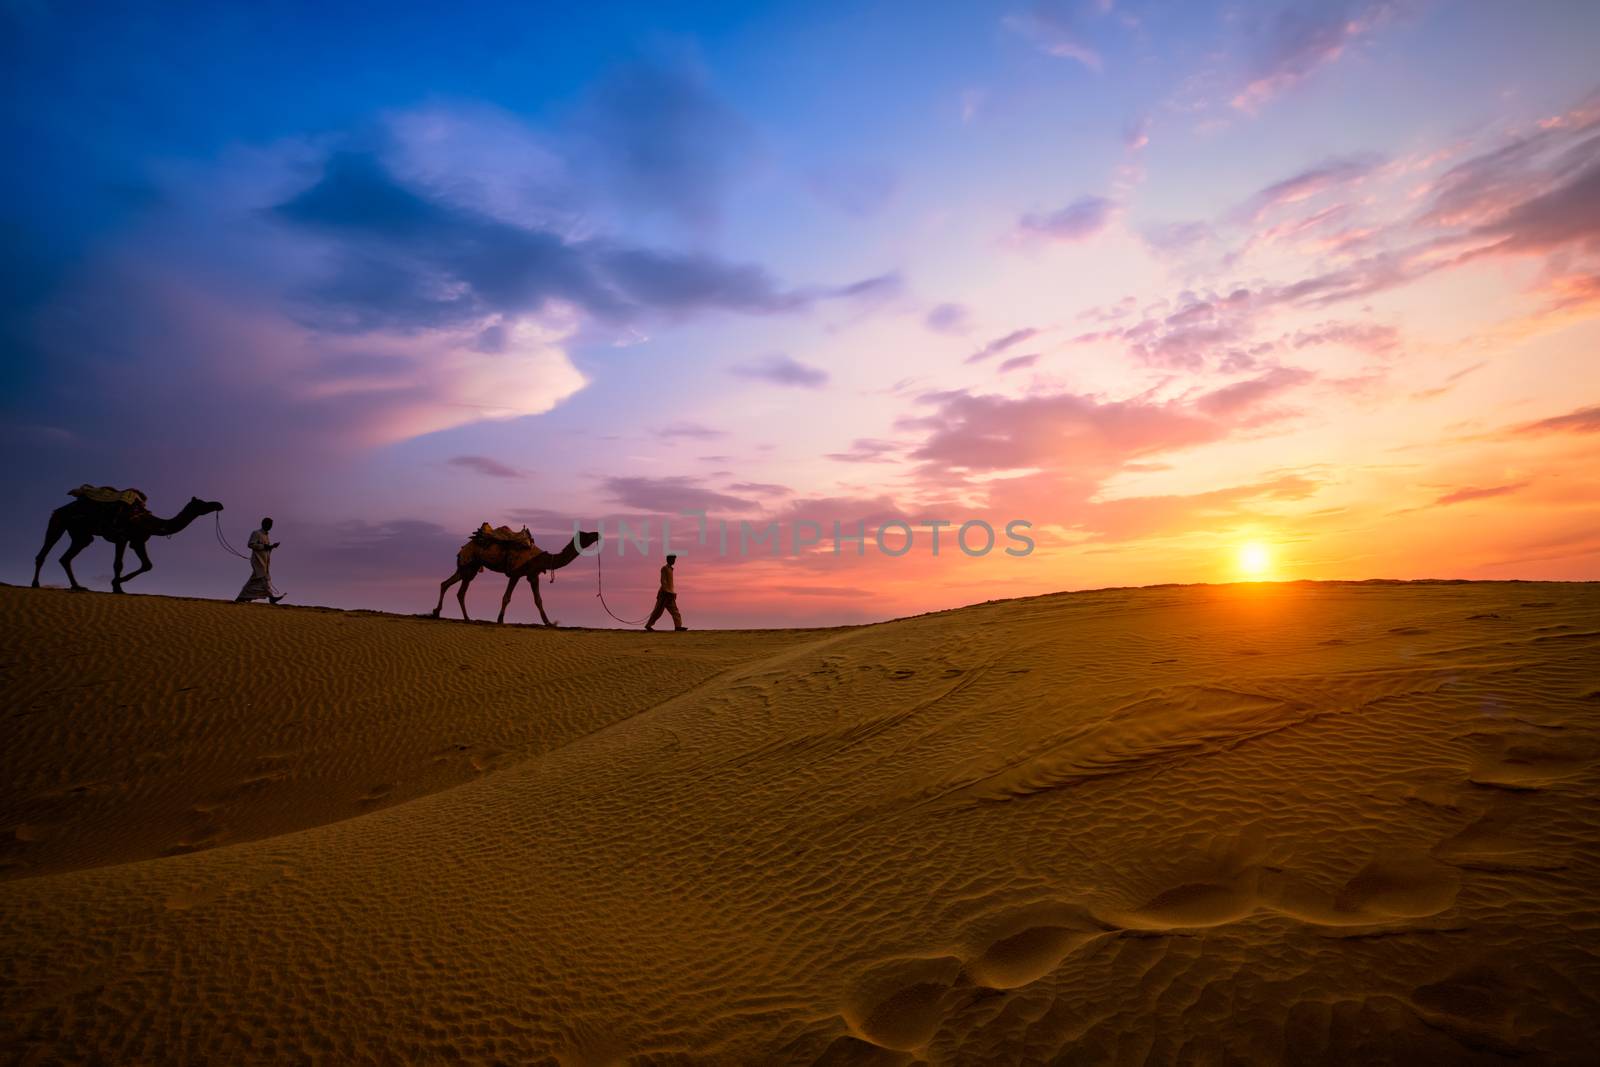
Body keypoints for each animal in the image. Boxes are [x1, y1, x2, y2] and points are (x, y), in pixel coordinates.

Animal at [32, 489, 225, 591]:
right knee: (44, 552)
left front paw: (117, 584)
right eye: (201, 503)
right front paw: (117, 587)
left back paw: (77, 586)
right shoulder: (122, 537)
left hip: (81, 534)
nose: (219, 504)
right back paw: (36, 584)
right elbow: (118, 564)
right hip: (58, 522)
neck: (148, 521)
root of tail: (59, 509)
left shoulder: (138, 541)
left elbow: (147, 565)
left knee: (66, 557)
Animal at [435, 527, 601, 627]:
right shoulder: (515, 573)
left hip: (468, 567)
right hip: (469, 565)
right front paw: (500, 620)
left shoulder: (533, 575)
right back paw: (466, 618)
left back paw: (440, 613)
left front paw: (548, 622)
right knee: (459, 590)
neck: (540, 557)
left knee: (448, 585)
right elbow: (506, 597)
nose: (597, 534)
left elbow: (538, 600)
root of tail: (462, 549)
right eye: (586, 535)